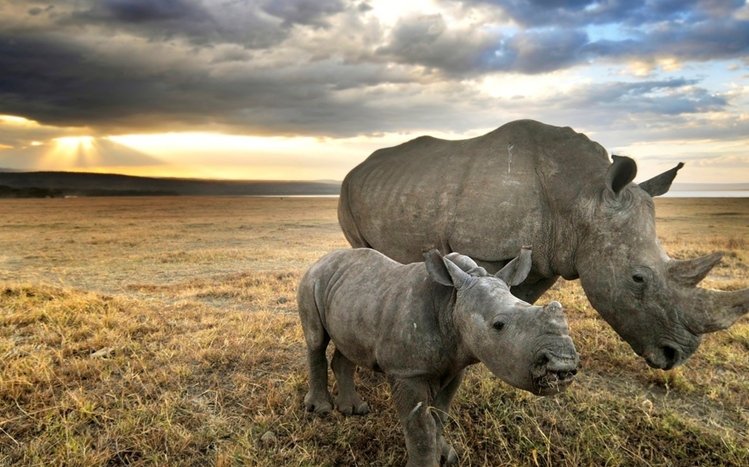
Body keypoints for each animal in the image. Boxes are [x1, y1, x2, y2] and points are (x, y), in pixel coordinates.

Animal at [298, 247, 578, 466]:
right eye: (498, 325)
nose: (563, 364)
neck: (451, 302)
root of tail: (322, 259)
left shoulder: (455, 365)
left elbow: (440, 415)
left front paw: (447, 456)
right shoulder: (407, 371)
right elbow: (420, 425)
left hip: (351, 294)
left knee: (347, 346)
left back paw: (354, 410)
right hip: (312, 280)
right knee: (316, 340)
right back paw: (321, 409)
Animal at [338, 119, 749, 370]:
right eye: (638, 279)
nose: (676, 356)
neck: (582, 195)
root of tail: (358, 167)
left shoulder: (553, 254)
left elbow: (519, 302)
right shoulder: (486, 248)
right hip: (347, 190)